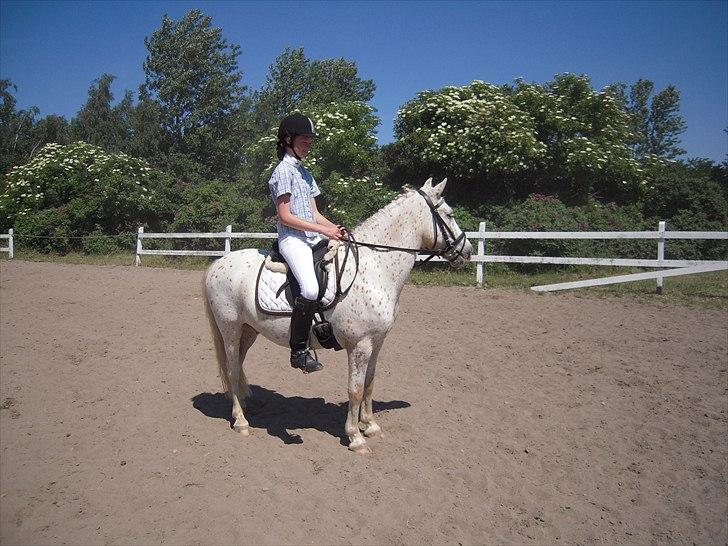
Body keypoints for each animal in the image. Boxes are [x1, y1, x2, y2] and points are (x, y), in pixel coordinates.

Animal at [203, 177, 472, 450]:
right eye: (449, 214)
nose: (467, 251)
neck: (372, 268)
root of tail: (218, 263)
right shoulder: (359, 345)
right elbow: (355, 389)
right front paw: (355, 437)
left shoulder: (376, 342)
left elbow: (369, 383)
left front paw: (371, 426)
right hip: (230, 329)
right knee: (232, 369)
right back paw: (241, 421)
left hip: (249, 331)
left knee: (238, 367)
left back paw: (245, 405)